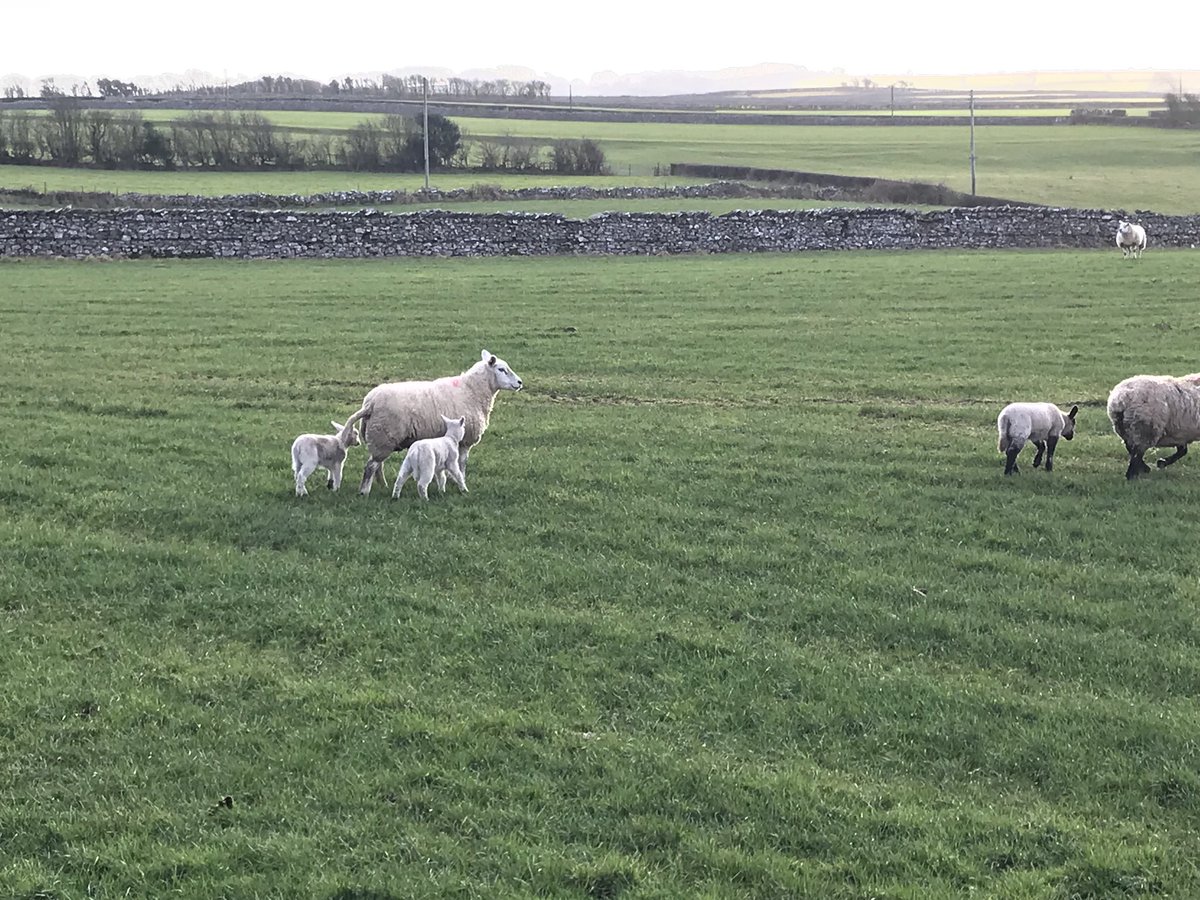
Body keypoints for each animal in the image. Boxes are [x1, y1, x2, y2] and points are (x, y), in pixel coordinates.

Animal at [343, 350, 523, 496]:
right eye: (501, 369)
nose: (520, 383)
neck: (473, 391)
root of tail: (369, 404)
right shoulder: (465, 441)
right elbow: (462, 464)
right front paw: (460, 481)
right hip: (383, 436)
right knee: (371, 466)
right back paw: (364, 491)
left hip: (380, 438)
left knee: (377, 465)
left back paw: (383, 485)